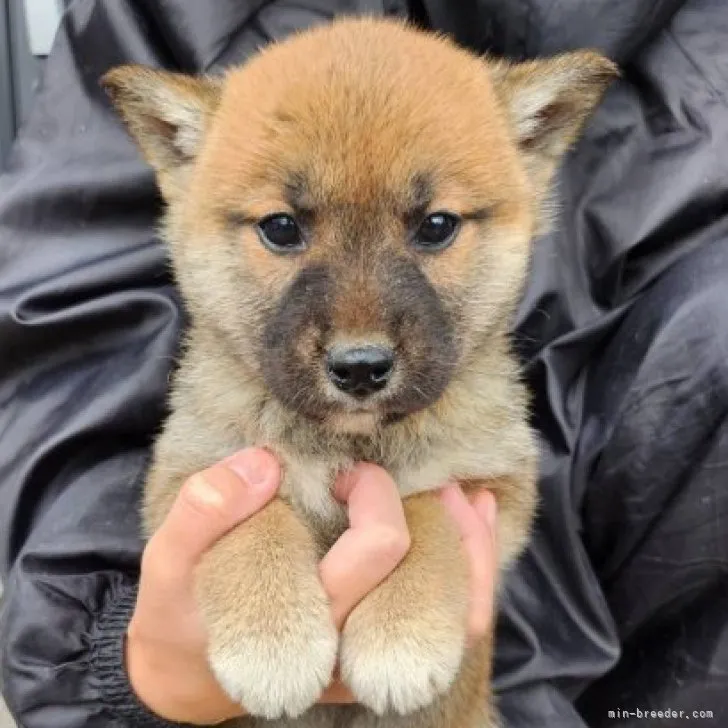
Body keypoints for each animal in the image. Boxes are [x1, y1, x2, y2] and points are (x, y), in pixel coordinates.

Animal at [101, 17, 616, 728]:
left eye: (436, 225)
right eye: (281, 227)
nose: (361, 368)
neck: (349, 444)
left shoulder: (493, 493)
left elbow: (426, 510)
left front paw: (401, 634)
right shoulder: (191, 476)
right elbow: (253, 523)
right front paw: (272, 641)